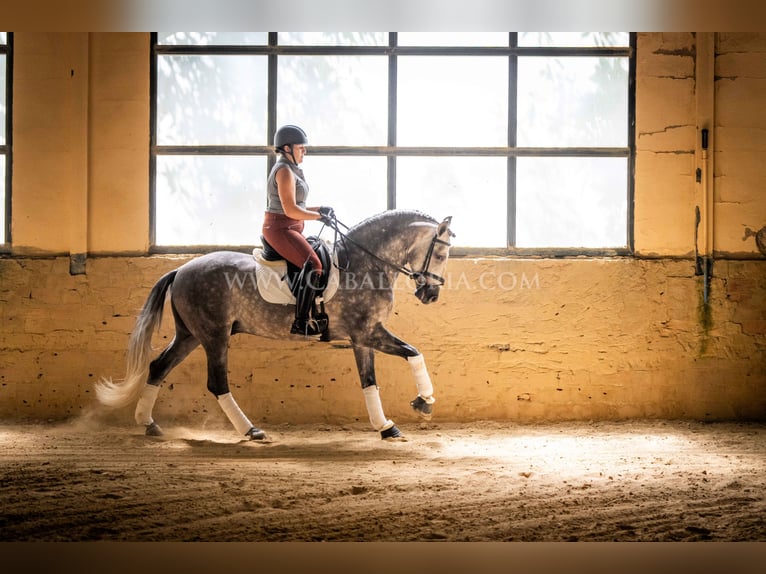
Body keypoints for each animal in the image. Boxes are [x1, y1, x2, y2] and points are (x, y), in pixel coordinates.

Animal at [96, 210, 456, 440]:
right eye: (440, 254)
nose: (431, 294)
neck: (365, 263)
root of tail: (180, 269)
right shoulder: (366, 332)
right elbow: (412, 354)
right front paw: (423, 403)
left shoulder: (362, 337)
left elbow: (374, 379)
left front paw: (388, 425)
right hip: (214, 336)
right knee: (216, 382)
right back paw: (250, 430)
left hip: (190, 335)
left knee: (158, 366)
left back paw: (148, 424)